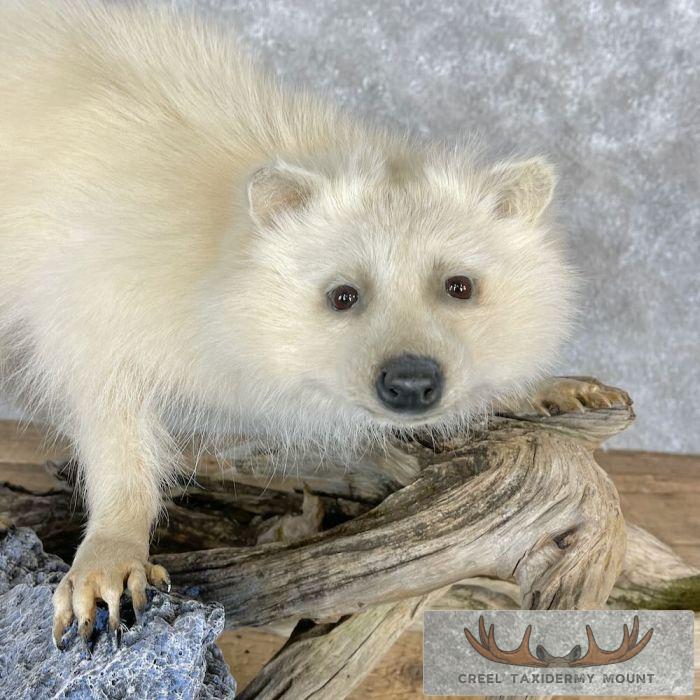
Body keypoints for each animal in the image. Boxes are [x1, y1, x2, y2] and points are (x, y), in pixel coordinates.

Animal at [0, 1, 579, 644]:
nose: (410, 383)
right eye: (343, 295)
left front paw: (556, 390)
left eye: (460, 286)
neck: (211, 253)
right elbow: (109, 421)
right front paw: (108, 562)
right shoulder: (87, 294)